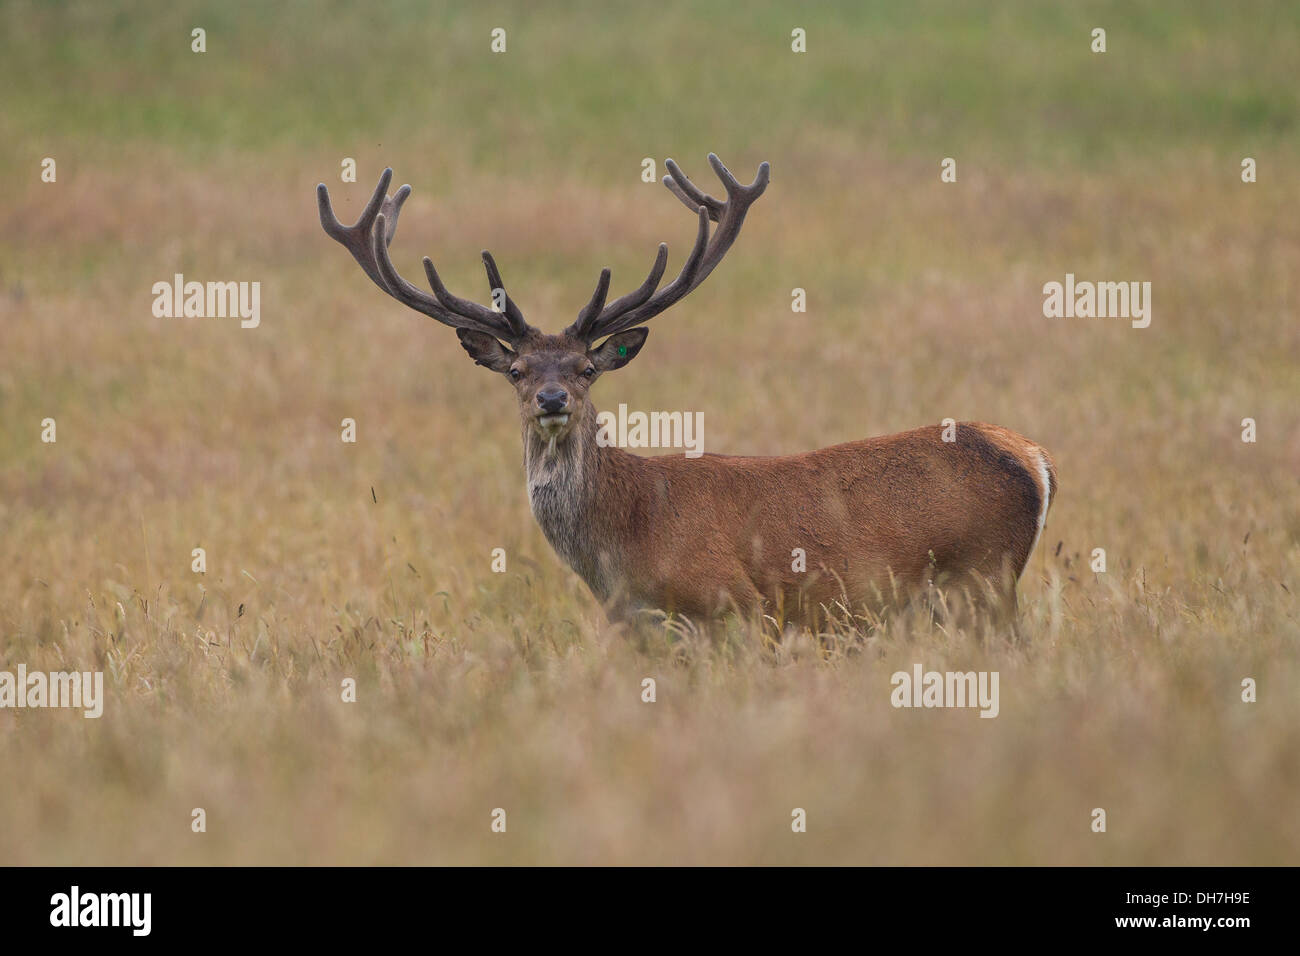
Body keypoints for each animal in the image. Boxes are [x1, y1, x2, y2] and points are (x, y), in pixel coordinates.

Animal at [317, 155, 1057, 630]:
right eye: (518, 370)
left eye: (585, 368)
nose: (553, 400)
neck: (622, 547)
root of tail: (1034, 459)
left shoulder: (738, 606)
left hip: (981, 578)